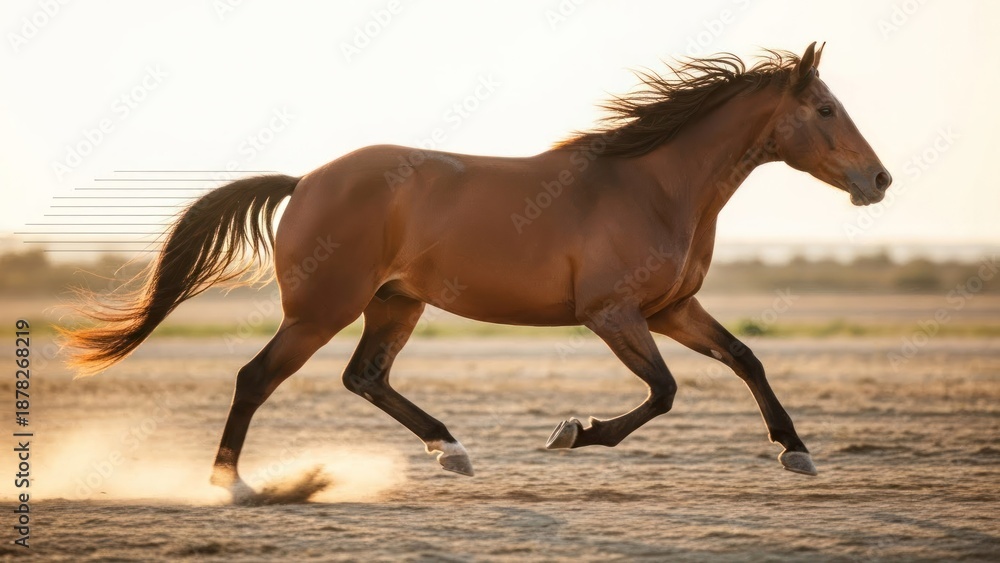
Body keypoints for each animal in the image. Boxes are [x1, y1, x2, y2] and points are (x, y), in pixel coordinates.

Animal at [62, 42, 891, 500]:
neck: (652, 185)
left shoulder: (672, 309)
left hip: (395, 303)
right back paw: (232, 483)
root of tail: (305, 181)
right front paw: (572, 433)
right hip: (320, 310)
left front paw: (797, 451)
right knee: (255, 377)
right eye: (824, 109)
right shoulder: (614, 314)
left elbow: (746, 358)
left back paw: (451, 449)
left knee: (364, 376)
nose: (878, 180)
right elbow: (663, 392)